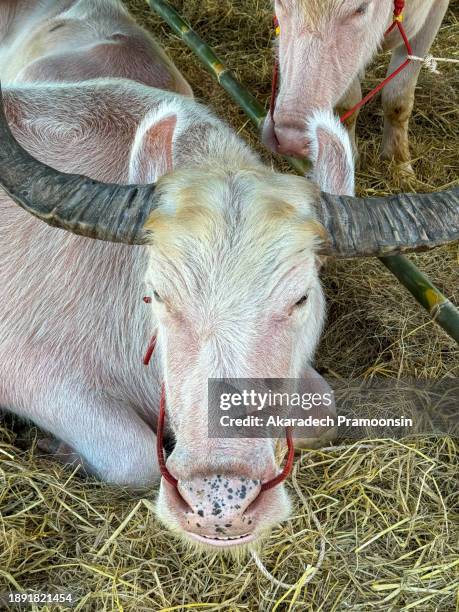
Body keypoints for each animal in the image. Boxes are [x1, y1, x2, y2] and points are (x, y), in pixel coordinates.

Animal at [0, 0, 456, 552]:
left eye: (300, 299)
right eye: (156, 294)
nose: (220, 503)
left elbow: (323, 410)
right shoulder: (25, 369)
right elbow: (136, 459)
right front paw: (59, 448)